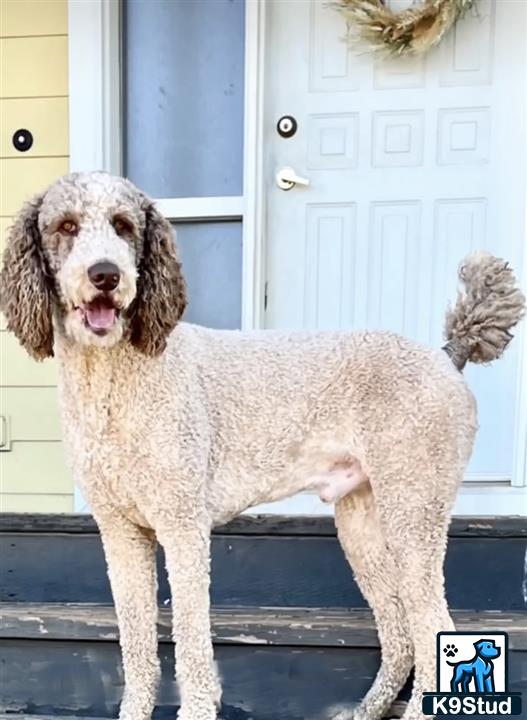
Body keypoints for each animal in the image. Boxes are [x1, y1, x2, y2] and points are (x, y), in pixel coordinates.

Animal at [2, 172, 524, 720]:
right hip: (365, 526)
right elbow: (136, 648)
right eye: (66, 226)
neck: (113, 381)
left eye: (124, 226)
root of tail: (445, 354)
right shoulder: (121, 533)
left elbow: (191, 646)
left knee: (432, 628)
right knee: (401, 634)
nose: (106, 274)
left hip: (414, 511)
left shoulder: (183, 527)